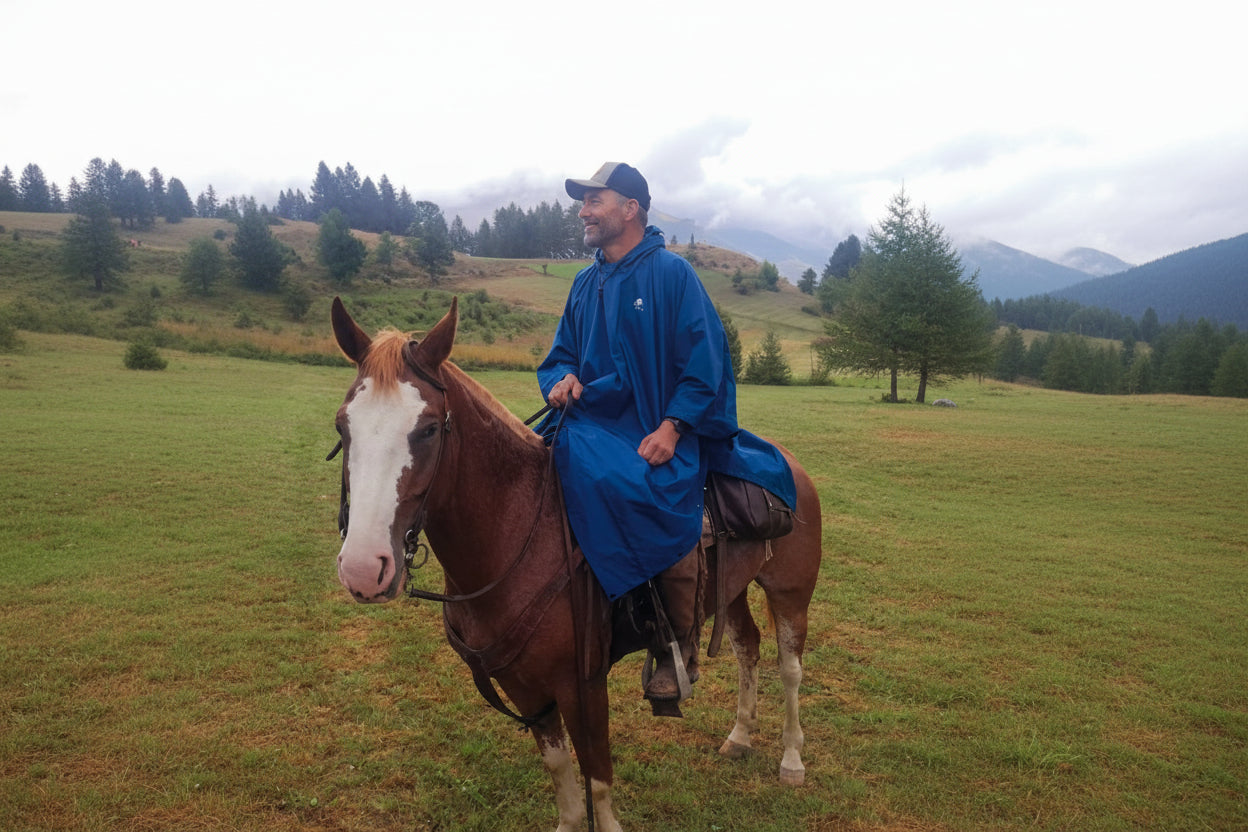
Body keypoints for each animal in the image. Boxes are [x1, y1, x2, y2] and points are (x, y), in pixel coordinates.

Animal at [329, 296, 822, 831]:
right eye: (342, 426)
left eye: (427, 429)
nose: (363, 569)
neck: (520, 534)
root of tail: (790, 463)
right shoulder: (525, 687)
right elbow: (561, 769)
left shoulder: (582, 685)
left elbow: (597, 775)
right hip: (730, 589)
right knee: (747, 648)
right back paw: (739, 737)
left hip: (790, 593)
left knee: (789, 668)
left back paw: (792, 760)